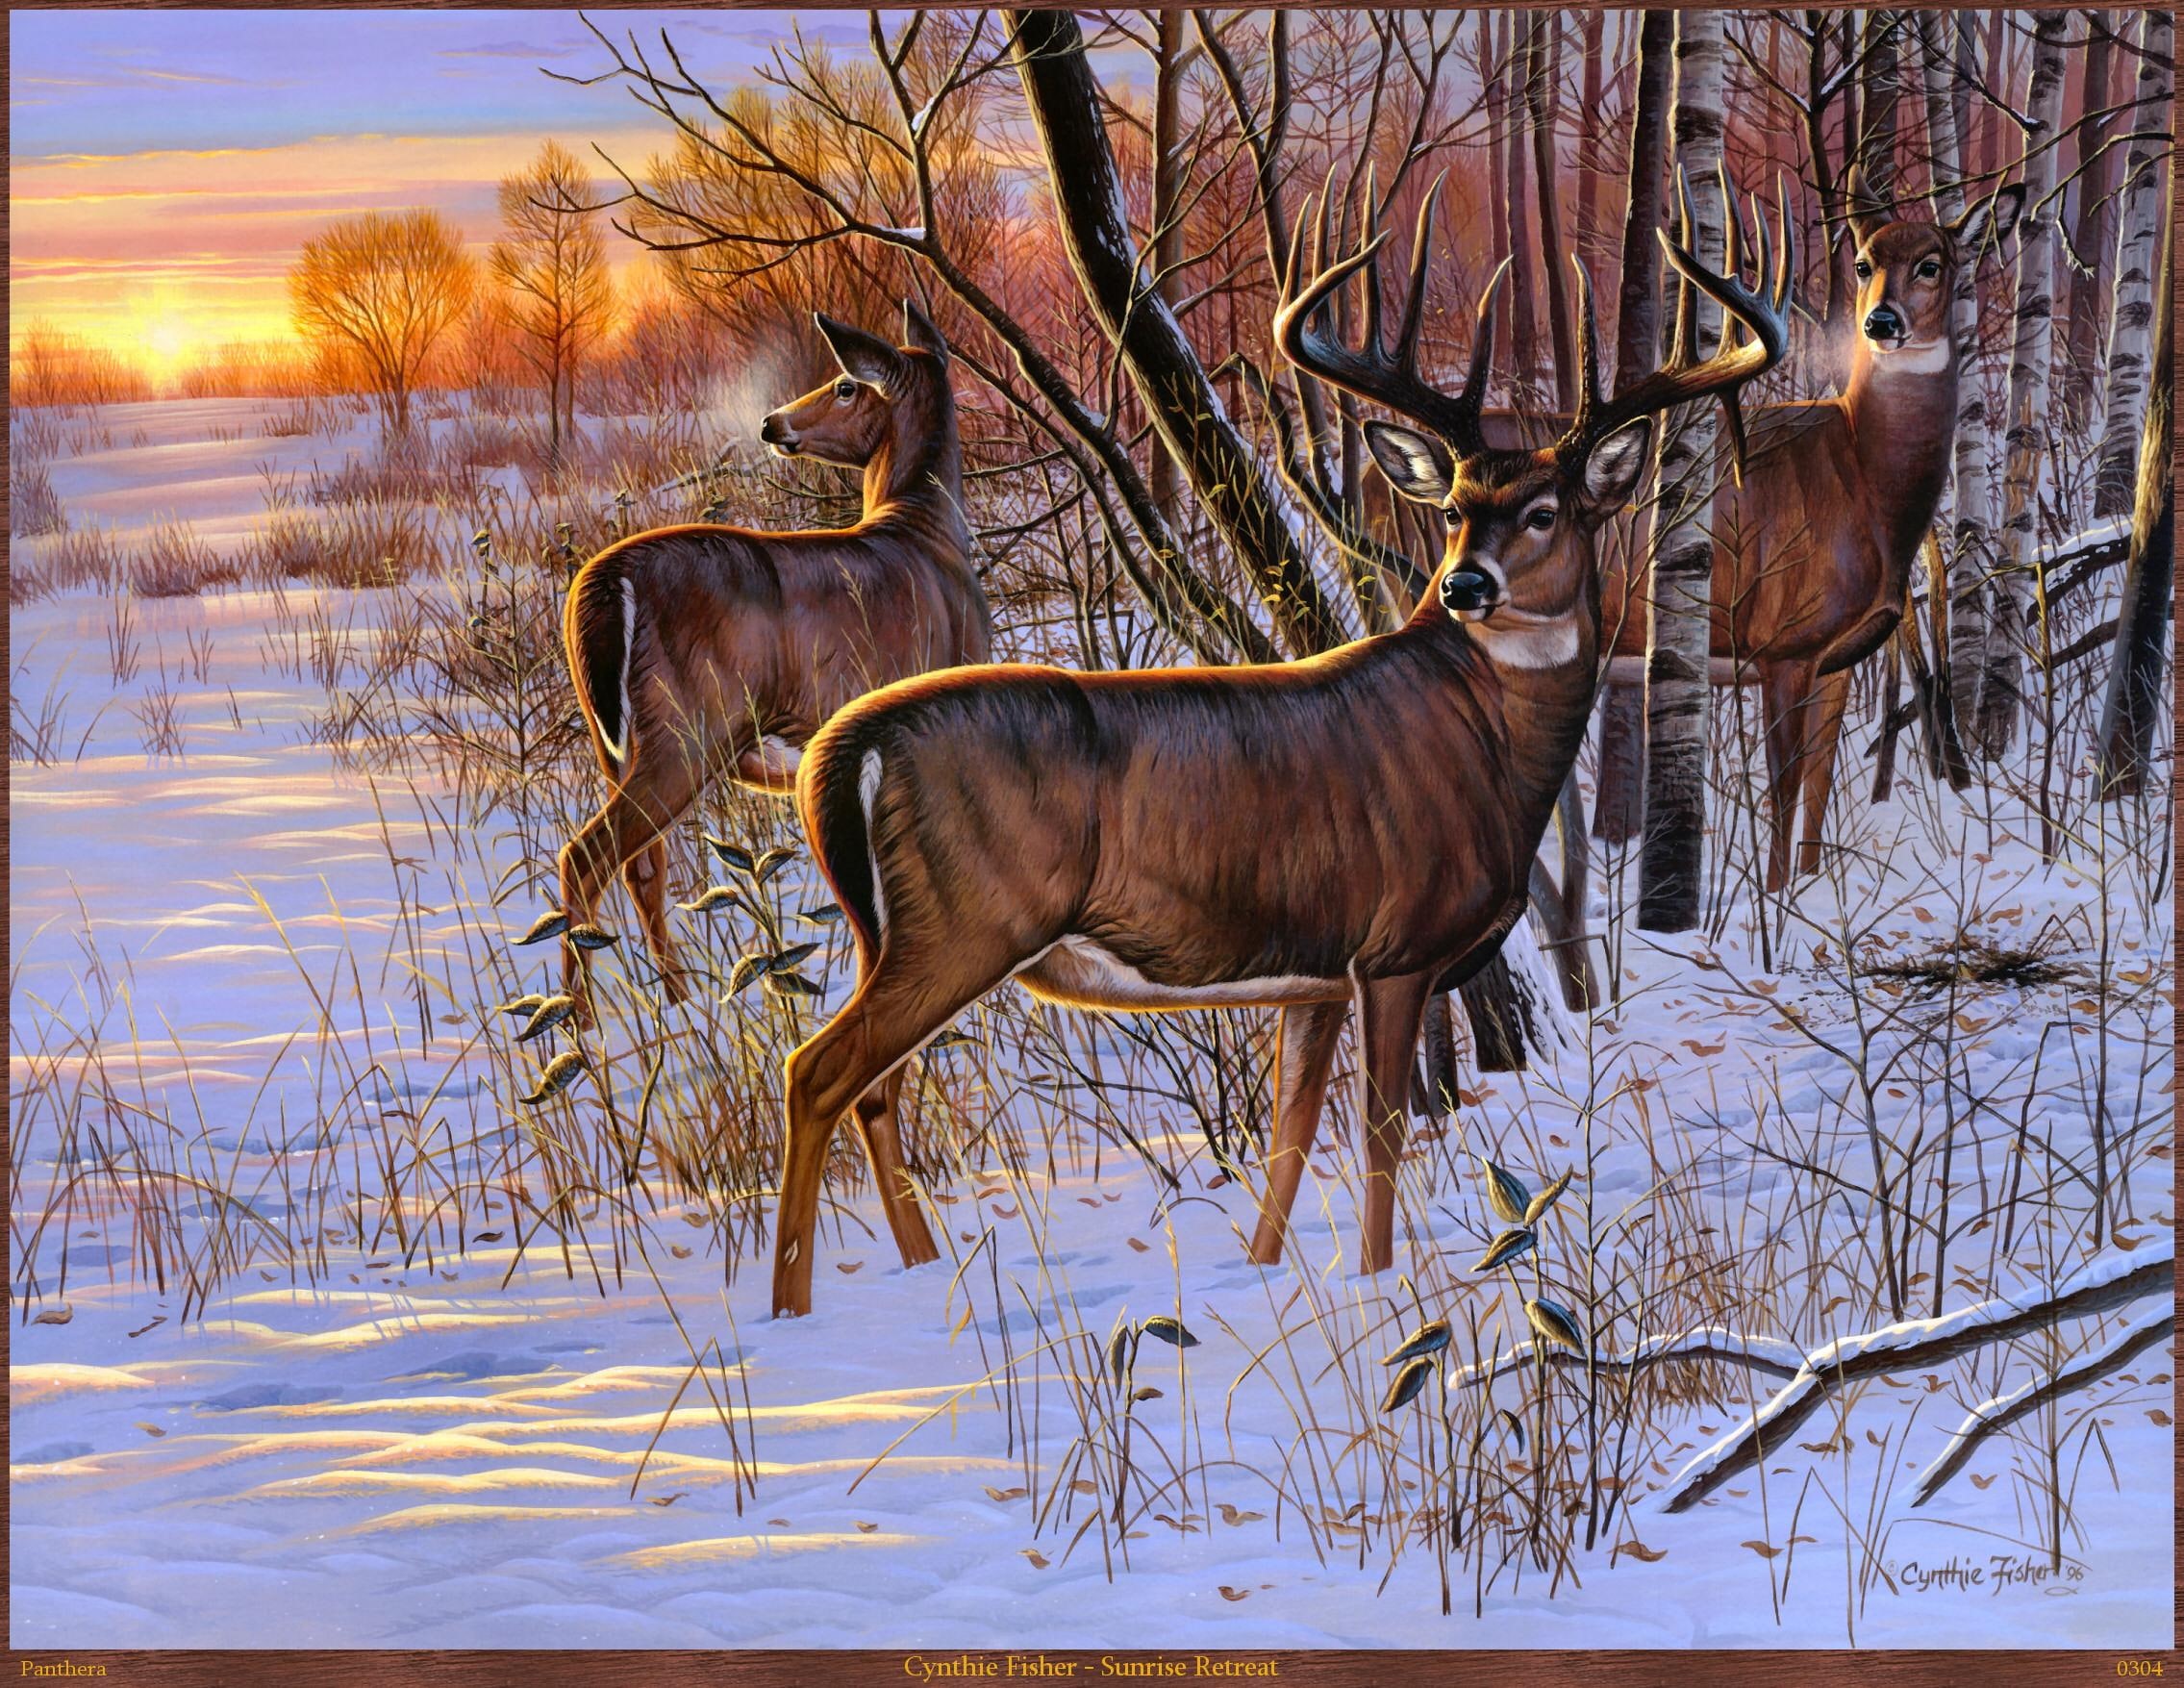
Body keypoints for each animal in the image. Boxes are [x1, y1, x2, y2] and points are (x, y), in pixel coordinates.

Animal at [552, 301, 989, 1015]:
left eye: (845, 385)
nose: (771, 422)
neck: (927, 534)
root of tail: (605, 583)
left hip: (609, 737)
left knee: (641, 863)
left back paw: (677, 1003)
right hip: (687, 729)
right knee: (588, 855)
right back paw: (579, 1024)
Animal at [764, 180, 1793, 1318]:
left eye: (1545, 510)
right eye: (1452, 510)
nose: (1466, 585)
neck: (1483, 744)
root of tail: (842, 749)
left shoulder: (1314, 977)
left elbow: (1291, 1141)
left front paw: (1268, 1271)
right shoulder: (1395, 947)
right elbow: (1381, 1139)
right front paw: (1382, 1287)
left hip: (893, 933)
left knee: (874, 1085)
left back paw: (910, 1267)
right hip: (962, 924)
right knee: (816, 1071)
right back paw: (791, 1307)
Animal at [1598, 168, 2022, 890]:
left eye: (1931, 263)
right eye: (1862, 264)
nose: (1881, 322)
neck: (1862, 483)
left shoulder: (1837, 657)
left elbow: (1819, 789)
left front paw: (1807, 890)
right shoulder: (1781, 645)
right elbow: (1784, 788)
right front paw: (1773, 901)